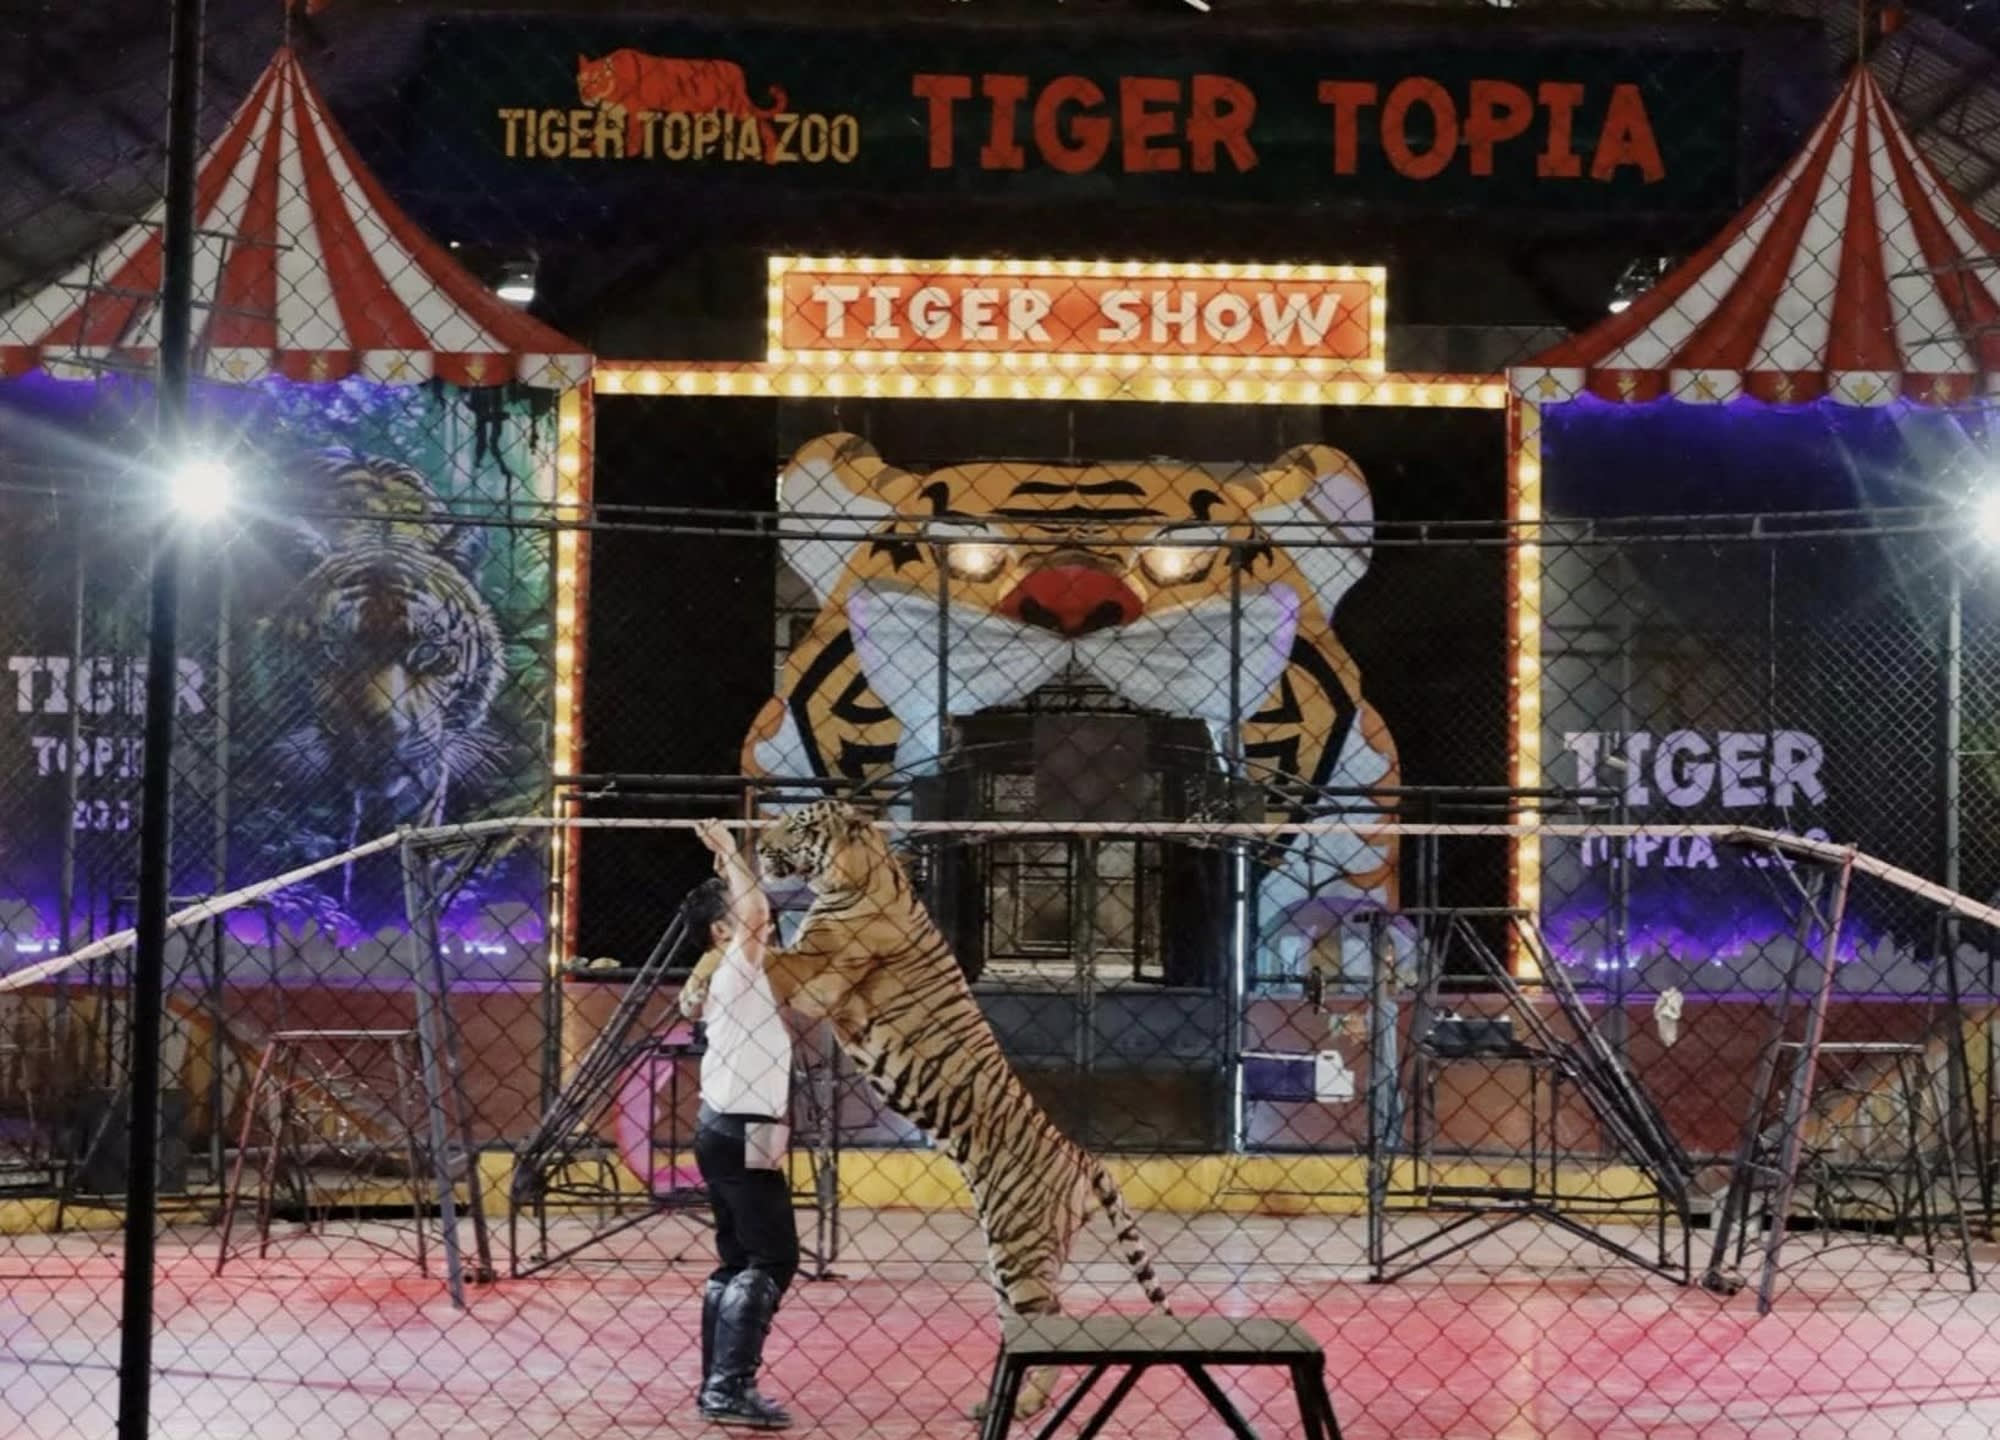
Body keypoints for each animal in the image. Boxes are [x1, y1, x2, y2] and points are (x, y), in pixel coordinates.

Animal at [747, 799, 1170, 1419]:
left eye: (798, 825)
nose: (759, 842)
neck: (857, 872)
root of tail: (1082, 1156)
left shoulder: (811, 973)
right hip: (1014, 1253)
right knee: (1030, 1321)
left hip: (1018, 1247)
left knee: (1051, 1315)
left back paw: (1022, 1406)